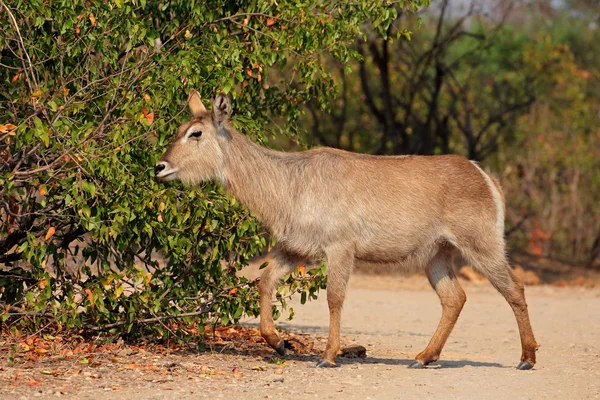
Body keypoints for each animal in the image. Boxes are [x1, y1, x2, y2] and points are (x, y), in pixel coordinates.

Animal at [155, 90, 540, 368]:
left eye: (196, 133)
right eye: (177, 130)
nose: (160, 166)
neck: (288, 184)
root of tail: (483, 174)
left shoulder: (339, 246)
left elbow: (334, 297)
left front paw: (328, 356)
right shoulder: (295, 248)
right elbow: (264, 282)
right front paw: (280, 343)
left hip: (482, 244)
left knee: (514, 288)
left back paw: (526, 358)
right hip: (437, 254)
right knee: (454, 298)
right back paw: (423, 357)